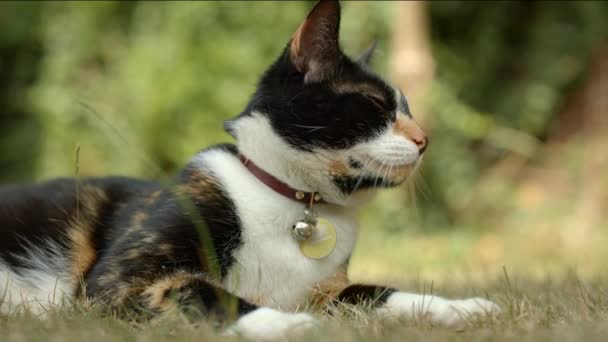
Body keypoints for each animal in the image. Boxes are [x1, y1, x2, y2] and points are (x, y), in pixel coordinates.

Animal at [0, 0, 498, 340]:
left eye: (407, 108)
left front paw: (461, 307)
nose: (425, 139)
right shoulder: (118, 279)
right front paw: (289, 324)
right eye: (376, 105)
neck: (295, 203)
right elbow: (201, 291)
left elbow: (379, 292)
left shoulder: (328, 293)